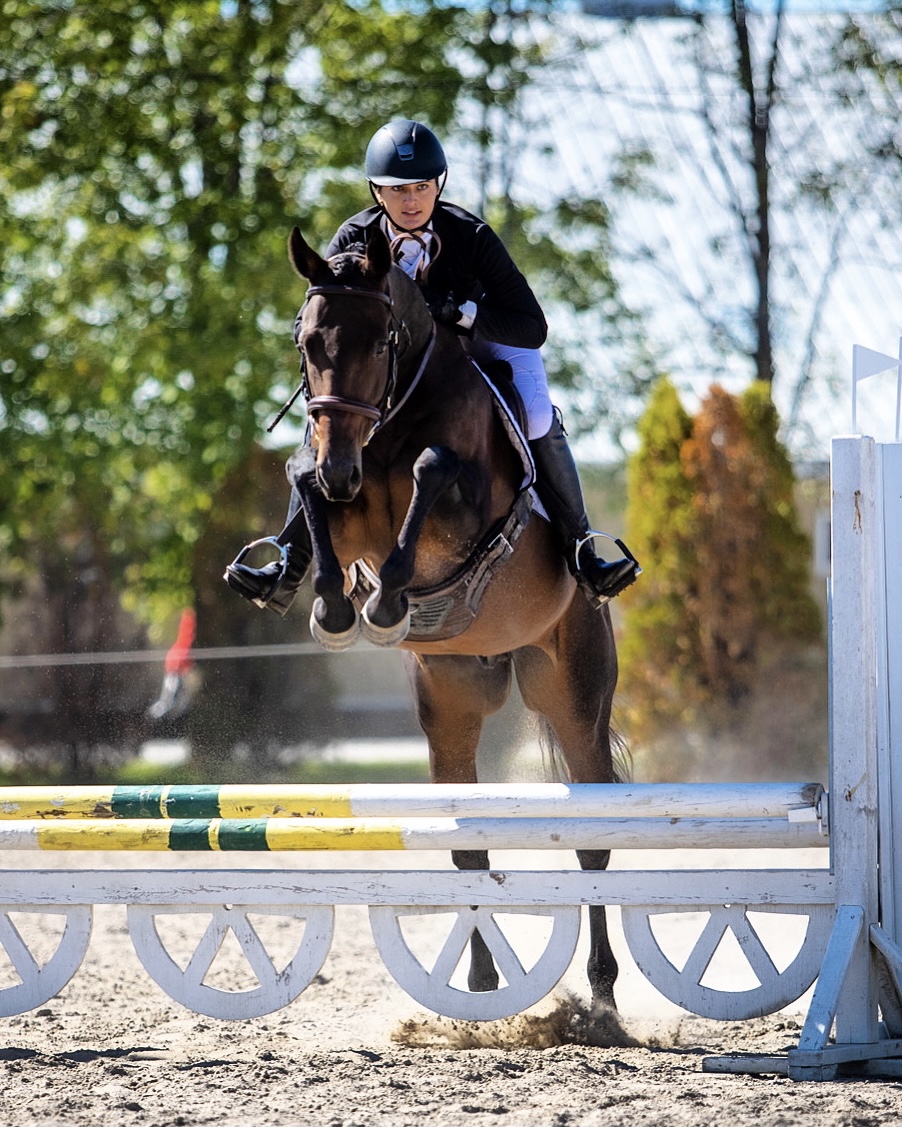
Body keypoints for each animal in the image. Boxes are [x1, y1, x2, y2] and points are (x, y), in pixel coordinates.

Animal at [287, 228, 622, 1014]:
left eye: (380, 340)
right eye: (307, 342)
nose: (344, 468)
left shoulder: (466, 505)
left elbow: (433, 467)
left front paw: (384, 606)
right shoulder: (341, 504)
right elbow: (305, 484)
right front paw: (336, 609)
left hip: (575, 696)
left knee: (592, 844)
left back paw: (600, 993)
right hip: (451, 705)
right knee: (468, 847)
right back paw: (480, 983)